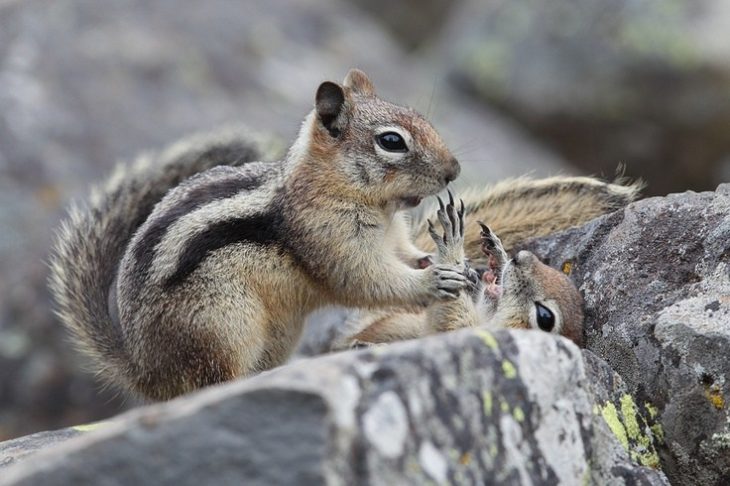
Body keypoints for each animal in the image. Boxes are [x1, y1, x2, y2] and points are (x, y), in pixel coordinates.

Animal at [48, 69, 466, 402]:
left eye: (422, 118)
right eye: (392, 141)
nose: (454, 170)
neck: (380, 208)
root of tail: (144, 370)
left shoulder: (394, 237)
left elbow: (405, 255)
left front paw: (444, 261)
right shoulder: (330, 239)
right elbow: (368, 280)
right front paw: (433, 279)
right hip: (224, 325)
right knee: (210, 382)